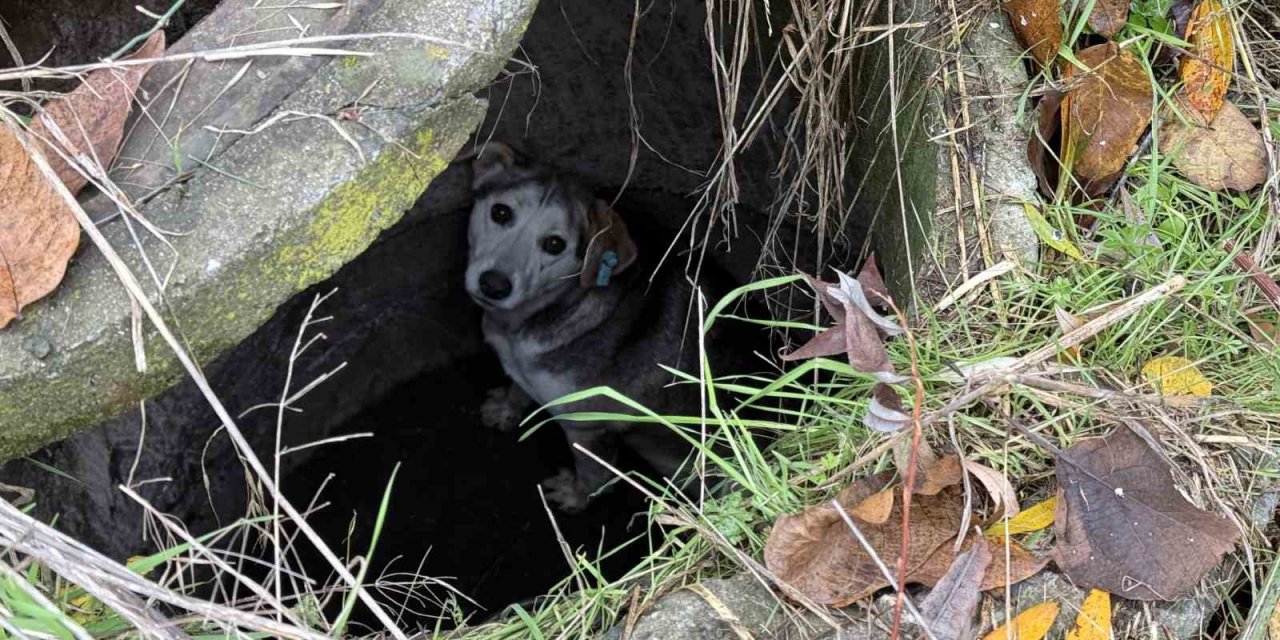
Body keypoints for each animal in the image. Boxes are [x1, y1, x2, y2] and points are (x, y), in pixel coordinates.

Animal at [463, 142, 747, 512]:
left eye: (554, 244)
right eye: (500, 213)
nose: (494, 285)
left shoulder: (587, 427)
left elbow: (594, 474)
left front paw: (577, 496)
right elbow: (518, 387)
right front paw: (507, 409)